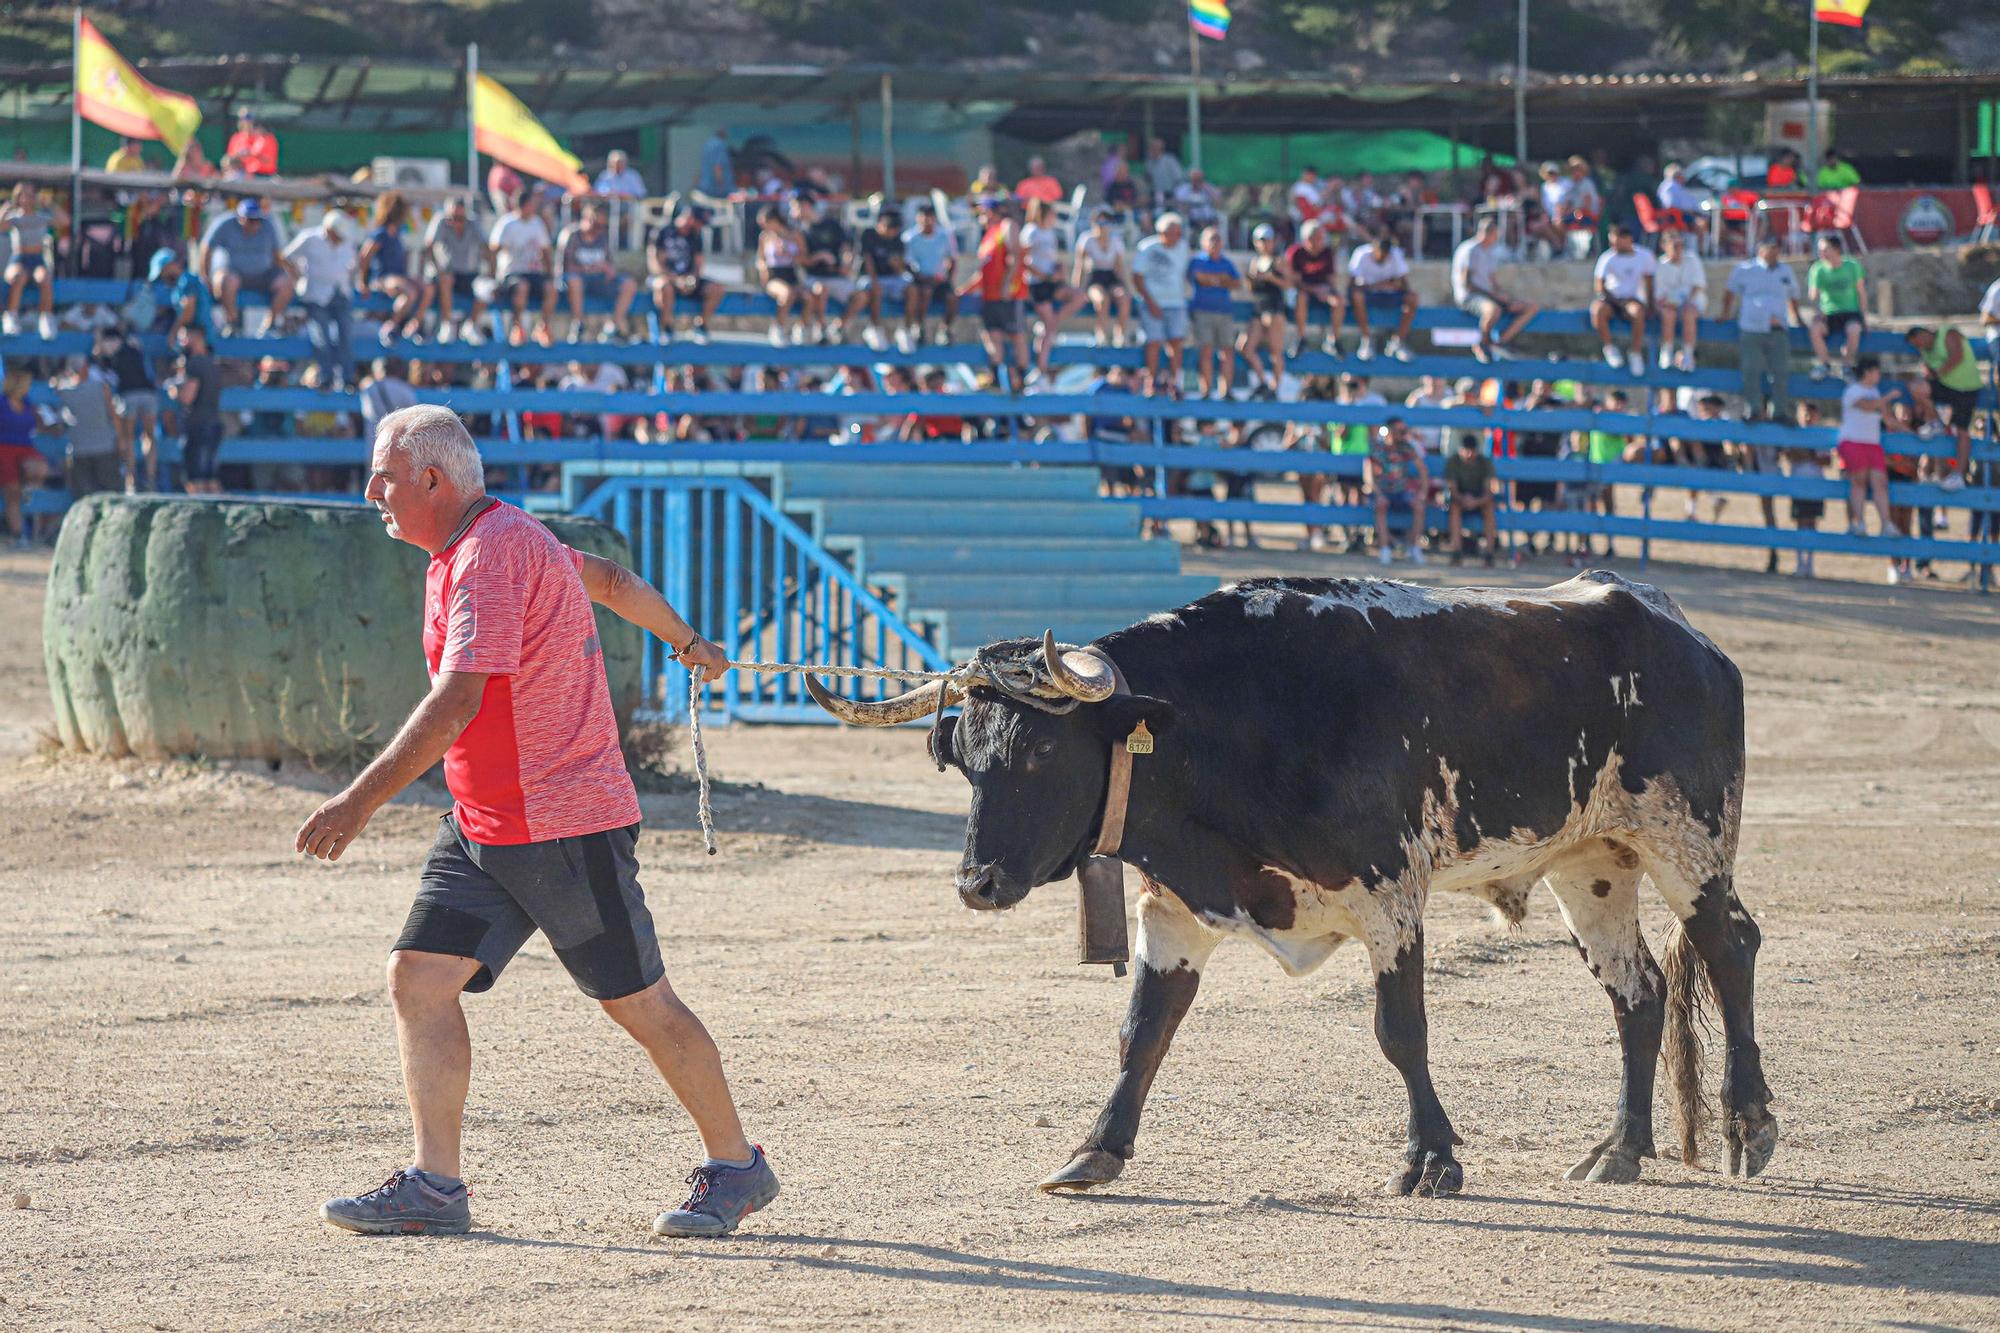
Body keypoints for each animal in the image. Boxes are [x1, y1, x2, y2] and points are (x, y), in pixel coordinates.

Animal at [812, 572, 1784, 1192]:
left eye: (1044, 749)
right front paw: (1097, 1149)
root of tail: (1682, 630)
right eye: (961, 756)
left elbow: (1401, 1033)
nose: (976, 882)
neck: (1237, 719)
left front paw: (1432, 1159)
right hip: (1593, 866)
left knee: (1729, 948)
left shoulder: (1392, 896)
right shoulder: (1175, 911)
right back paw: (1619, 1148)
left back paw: (1748, 1123)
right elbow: (1142, 1034)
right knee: (1639, 991)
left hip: (1688, 841)